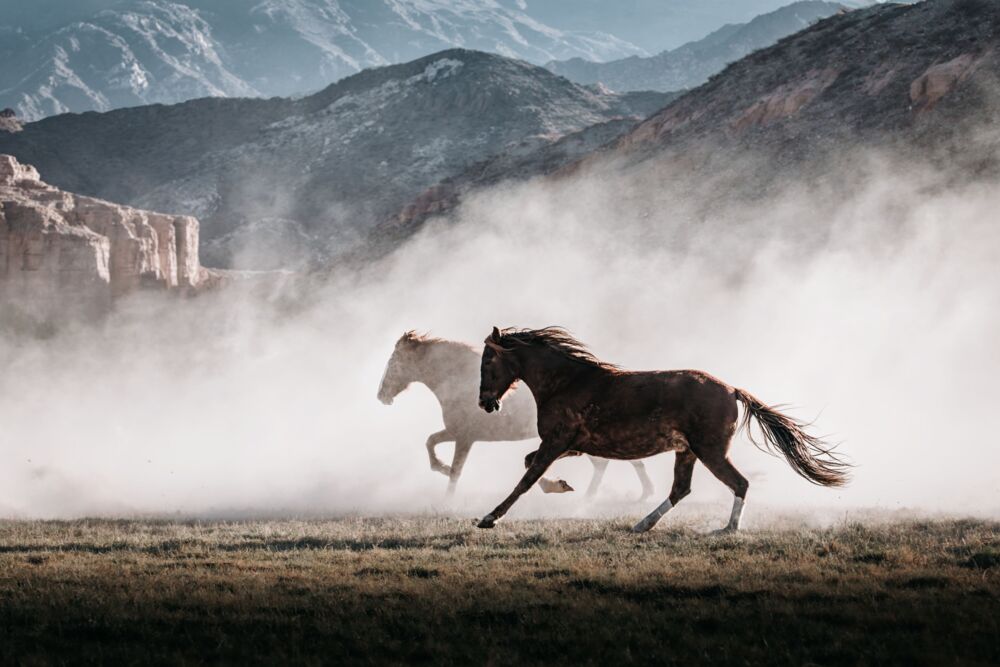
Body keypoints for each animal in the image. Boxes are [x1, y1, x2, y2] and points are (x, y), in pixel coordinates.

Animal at [377, 331, 655, 497]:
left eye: (393, 362)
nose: (381, 395)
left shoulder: (464, 437)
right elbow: (431, 442)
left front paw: (447, 502)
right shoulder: (457, 433)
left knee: (615, 463)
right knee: (616, 463)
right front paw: (441, 469)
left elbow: (455, 470)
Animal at [476, 326, 850, 532]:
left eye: (488, 361)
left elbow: (526, 480)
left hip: (710, 451)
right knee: (681, 489)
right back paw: (642, 524)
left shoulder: (556, 441)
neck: (566, 382)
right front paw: (562, 486)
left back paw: (726, 530)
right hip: (687, 451)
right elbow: (529, 465)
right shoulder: (571, 445)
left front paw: (489, 518)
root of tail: (732, 389)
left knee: (738, 483)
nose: (485, 402)